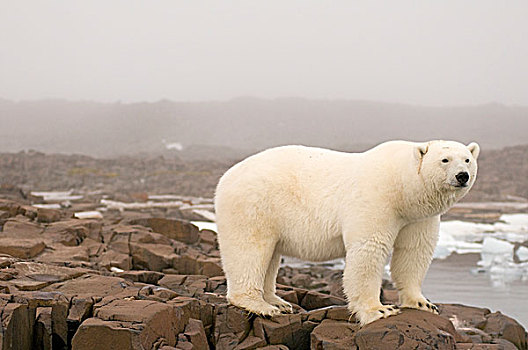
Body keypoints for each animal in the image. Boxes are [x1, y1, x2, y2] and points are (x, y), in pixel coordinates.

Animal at [213, 140, 478, 326]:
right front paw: (379, 310)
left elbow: (414, 251)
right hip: (255, 204)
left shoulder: (417, 217)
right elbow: (369, 249)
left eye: (467, 159)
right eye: (444, 159)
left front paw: (423, 303)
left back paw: (278, 301)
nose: (462, 176)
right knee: (250, 249)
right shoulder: (376, 199)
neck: (401, 185)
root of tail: (226, 177)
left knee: (270, 255)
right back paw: (260, 305)